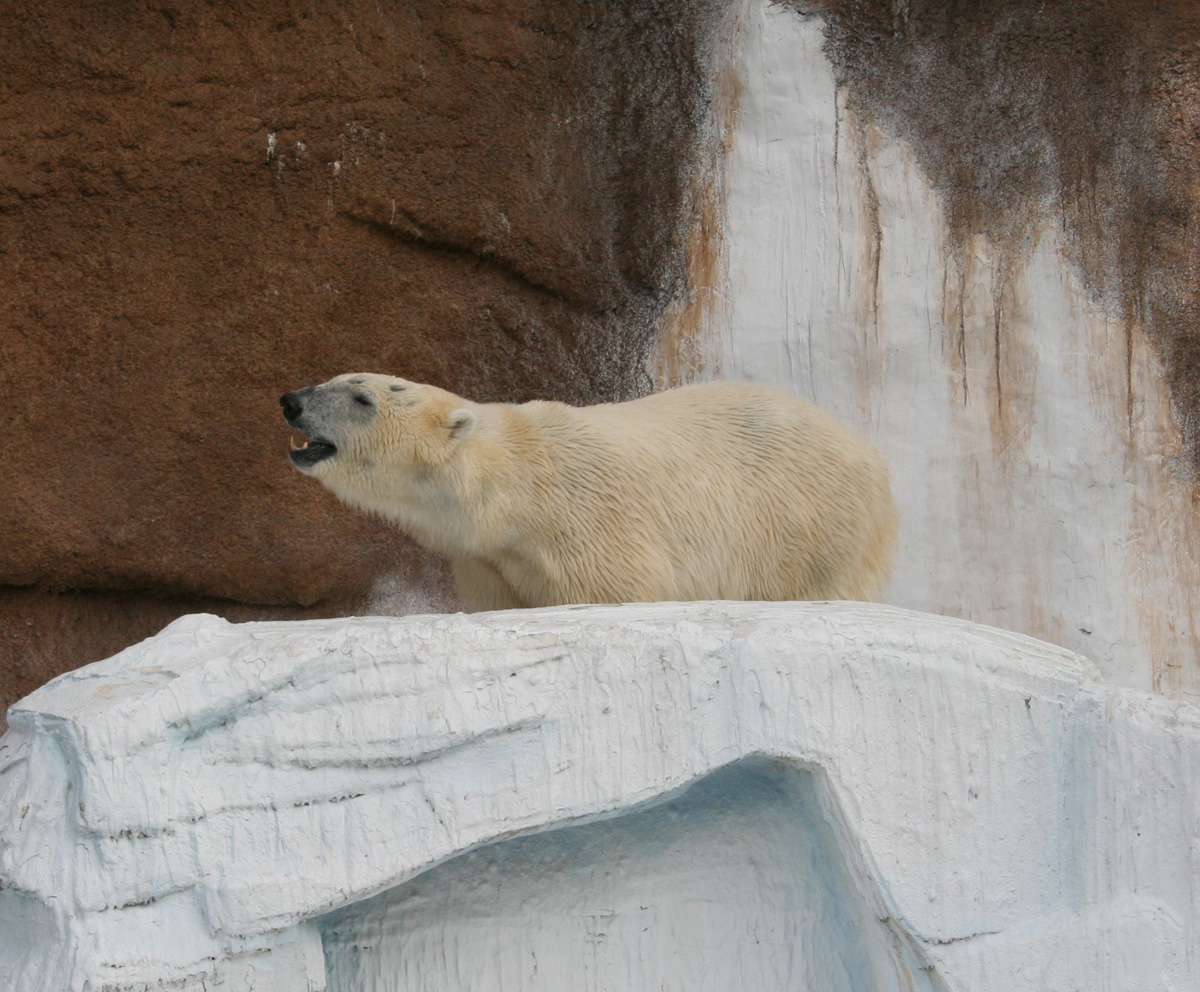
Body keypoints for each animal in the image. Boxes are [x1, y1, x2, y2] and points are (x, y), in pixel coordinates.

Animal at [280, 376, 897, 609]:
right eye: (331, 377)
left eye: (362, 397)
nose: (291, 399)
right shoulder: (488, 560)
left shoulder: (588, 525)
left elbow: (622, 589)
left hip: (811, 524)